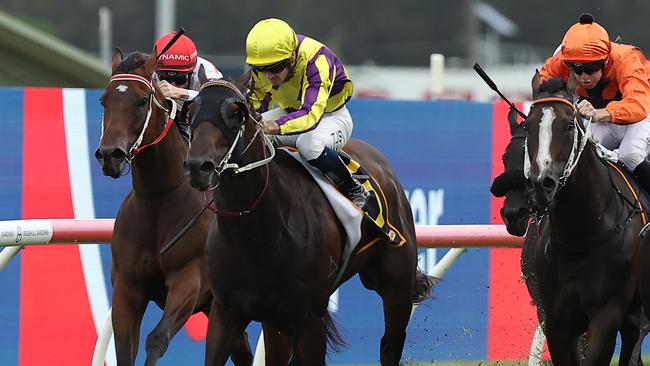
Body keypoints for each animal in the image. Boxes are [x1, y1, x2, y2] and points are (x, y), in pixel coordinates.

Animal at [96, 49, 258, 366]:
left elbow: (157, 339)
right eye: (103, 100)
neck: (159, 199)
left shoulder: (190, 280)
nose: (110, 155)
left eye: (141, 100)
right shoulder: (127, 288)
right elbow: (124, 349)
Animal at [185, 76, 432, 364]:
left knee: (390, 344)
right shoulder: (227, 312)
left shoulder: (310, 319)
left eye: (237, 113)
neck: (257, 236)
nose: (198, 167)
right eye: (190, 111)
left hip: (395, 283)